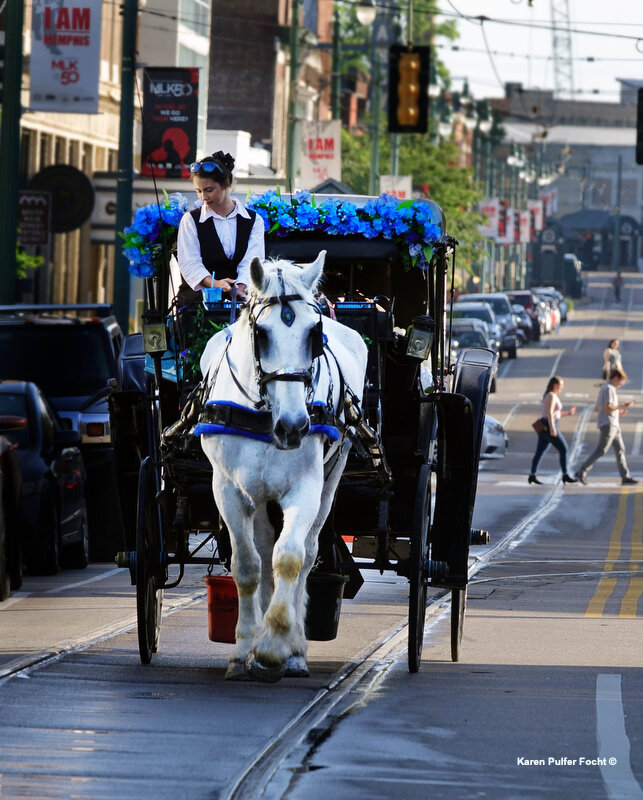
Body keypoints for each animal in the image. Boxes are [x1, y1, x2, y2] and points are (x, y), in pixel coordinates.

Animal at [199, 250, 368, 680]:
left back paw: (294, 649)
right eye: (262, 333)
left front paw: (276, 645)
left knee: (306, 552)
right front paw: (243, 648)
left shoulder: (305, 487)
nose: (293, 426)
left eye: (314, 333)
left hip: (332, 477)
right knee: (261, 550)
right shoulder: (228, 489)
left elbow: (290, 558)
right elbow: (247, 565)